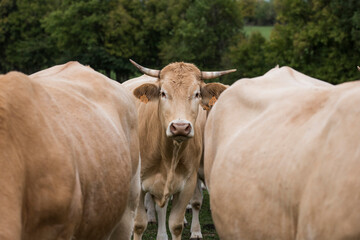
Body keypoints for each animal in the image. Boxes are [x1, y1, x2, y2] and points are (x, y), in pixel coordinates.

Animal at [122, 59, 235, 239]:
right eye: (163, 93)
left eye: (197, 94)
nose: (180, 127)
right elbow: (141, 223)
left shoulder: (189, 180)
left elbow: (179, 220)